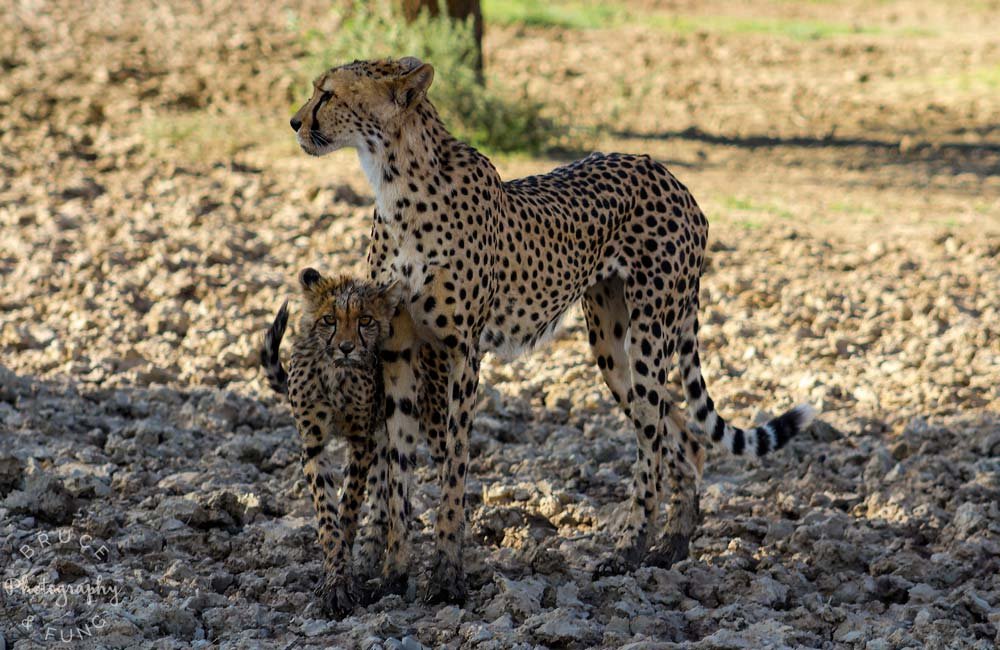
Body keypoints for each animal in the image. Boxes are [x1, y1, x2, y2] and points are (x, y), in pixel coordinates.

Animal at [290, 55, 812, 604]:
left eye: (328, 93)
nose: (295, 121)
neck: (395, 181)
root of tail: (666, 171)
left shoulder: (462, 352)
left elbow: (453, 466)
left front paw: (446, 576)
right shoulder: (397, 349)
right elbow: (395, 472)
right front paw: (392, 575)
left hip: (650, 335)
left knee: (652, 438)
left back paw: (627, 551)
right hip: (610, 346)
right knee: (681, 434)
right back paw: (670, 545)